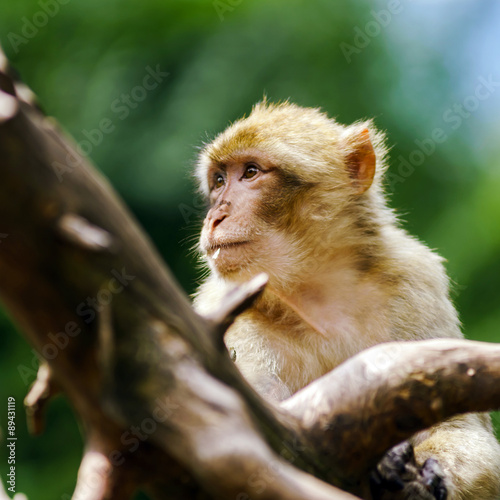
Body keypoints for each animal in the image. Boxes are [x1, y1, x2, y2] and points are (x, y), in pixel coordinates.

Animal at [190, 101, 500, 500]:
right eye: (218, 181)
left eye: (251, 172)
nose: (216, 216)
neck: (317, 293)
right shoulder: (223, 312)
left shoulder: (417, 282)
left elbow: (463, 427)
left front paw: (429, 476)